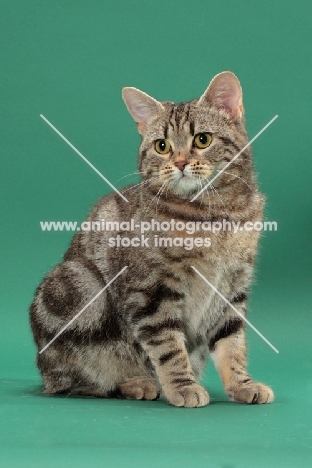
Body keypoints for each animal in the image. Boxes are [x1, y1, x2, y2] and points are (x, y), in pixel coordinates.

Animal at [29, 71, 272, 408]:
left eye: (203, 140)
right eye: (162, 146)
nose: (180, 163)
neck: (215, 214)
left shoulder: (233, 288)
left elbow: (232, 344)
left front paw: (241, 384)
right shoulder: (150, 291)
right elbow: (168, 347)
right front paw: (183, 386)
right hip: (77, 285)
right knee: (78, 382)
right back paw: (137, 382)